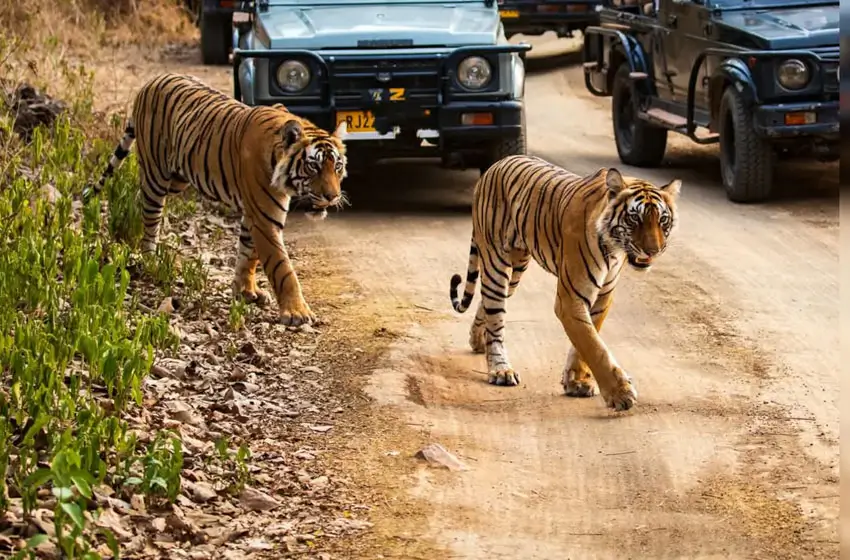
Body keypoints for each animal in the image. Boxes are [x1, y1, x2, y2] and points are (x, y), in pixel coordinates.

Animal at [82, 73, 349, 327]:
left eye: (337, 166)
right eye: (313, 167)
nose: (332, 196)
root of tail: (150, 81)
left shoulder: (254, 213)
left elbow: (248, 253)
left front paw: (246, 291)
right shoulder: (265, 217)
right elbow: (282, 267)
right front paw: (297, 313)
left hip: (178, 179)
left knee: (143, 198)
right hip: (156, 173)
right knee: (149, 214)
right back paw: (150, 258)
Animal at [448, 155, 681, 411]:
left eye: (663, 220)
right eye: (634, 218)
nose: (653, 251)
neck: (613, 249)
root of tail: (496, 164)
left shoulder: (603, 297)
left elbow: (587, 338)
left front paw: (577, 382)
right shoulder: (571, 298)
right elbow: (594, 345)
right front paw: (620, 394)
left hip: (516, 268)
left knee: (487, 304)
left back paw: (478, 340)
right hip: (496, 261)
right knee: (496, 314)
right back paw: (501, 370)